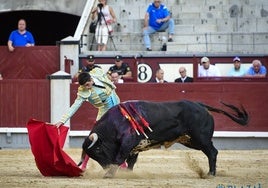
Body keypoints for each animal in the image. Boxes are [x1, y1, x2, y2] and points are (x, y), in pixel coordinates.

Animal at [80, 100, 248, 178]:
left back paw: (210, 174)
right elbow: (131, 162)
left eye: (98, 150)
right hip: (191, 141)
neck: (114, 124)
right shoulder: (135, 147)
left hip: (201, 138)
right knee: (211, 152)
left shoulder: (127, 143)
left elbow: (119, 158)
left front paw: (109, 174)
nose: (106, 167)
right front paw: (127, 173)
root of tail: (200, 105)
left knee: (212, 152)